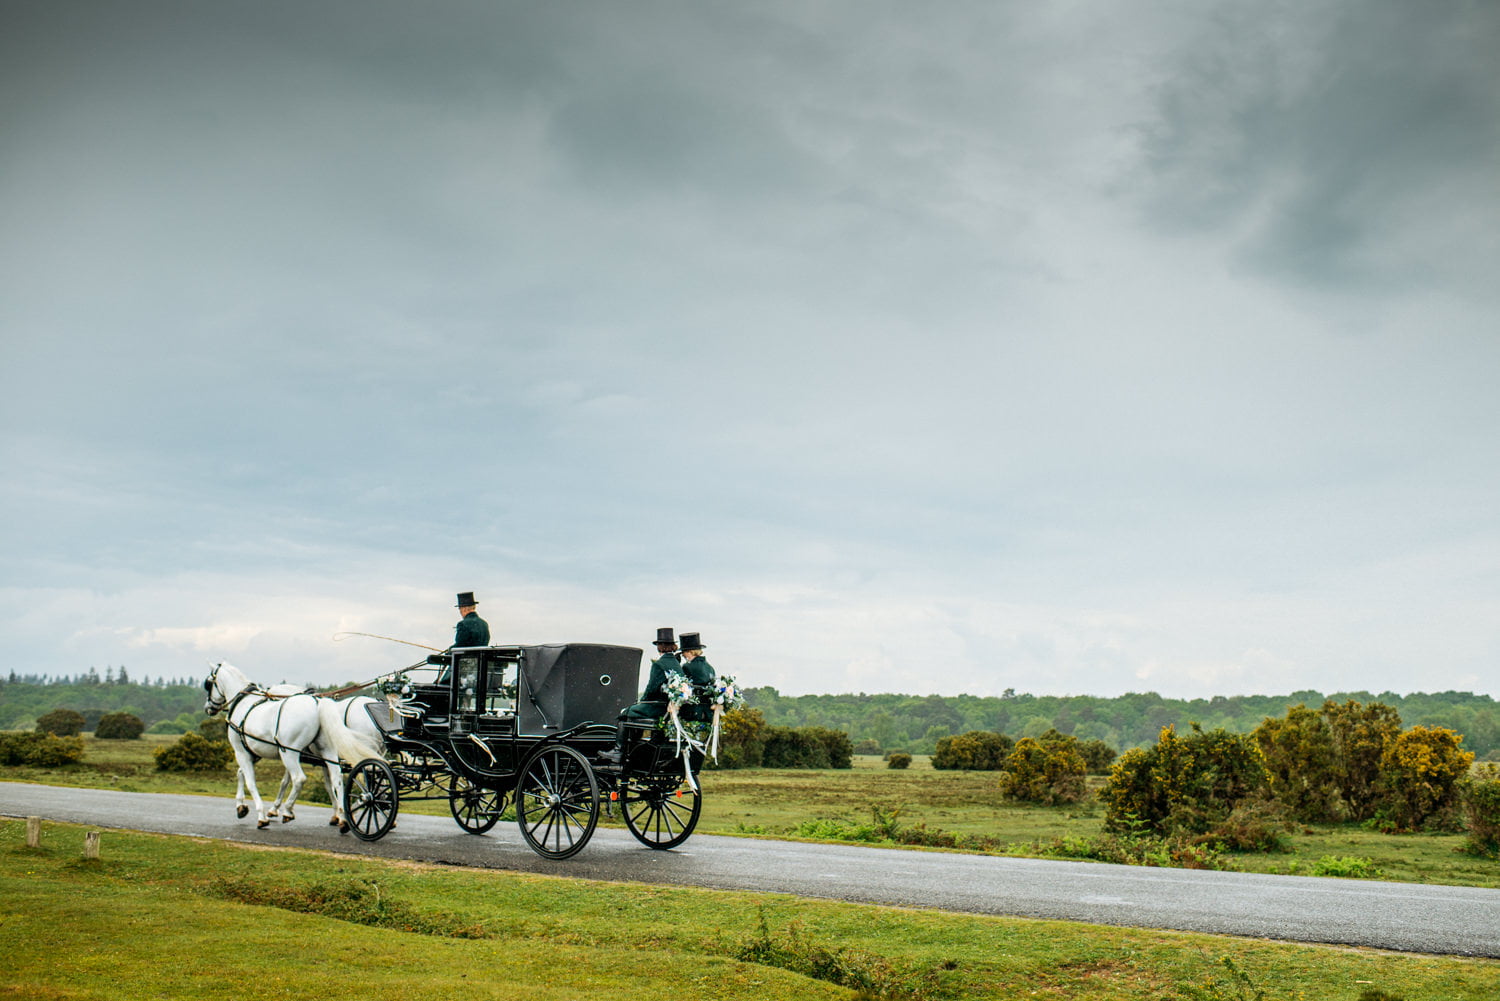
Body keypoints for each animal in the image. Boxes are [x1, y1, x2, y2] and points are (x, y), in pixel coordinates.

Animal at [204, 666, 381, 828]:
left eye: (208, 684)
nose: (208, 708)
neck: (244, 705)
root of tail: (317, 703)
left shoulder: (242, 753)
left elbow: (251, 781)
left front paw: (262, 814)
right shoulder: (253, 753)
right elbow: (242, 774)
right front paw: (241, 806)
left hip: (289, 753)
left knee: (300, 779)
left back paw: (289, 810)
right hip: (326, 752)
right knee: (337, 778)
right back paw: (344, 817)